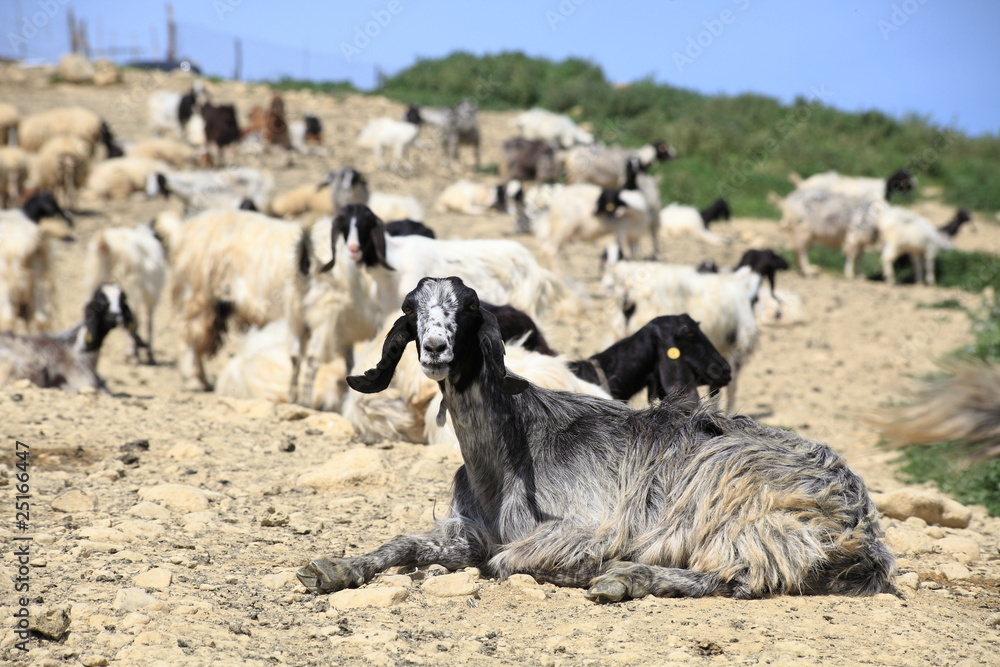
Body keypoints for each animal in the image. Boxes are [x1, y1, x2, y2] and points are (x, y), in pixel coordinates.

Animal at [297, 276, 895, 602]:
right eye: (411, 311)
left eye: (467, 310)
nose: (436, 350)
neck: (506, 458)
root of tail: (859, 517)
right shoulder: (473, 531)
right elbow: (404, 544)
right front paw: (333, 568)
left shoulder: (579, 526)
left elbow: (508, 561)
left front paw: (590, 568)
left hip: (742, 507)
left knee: (739, 576)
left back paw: (624, 577)